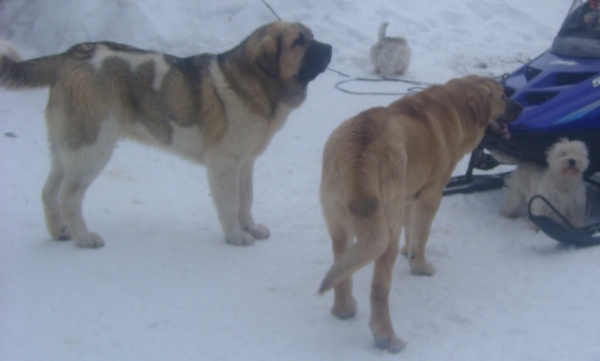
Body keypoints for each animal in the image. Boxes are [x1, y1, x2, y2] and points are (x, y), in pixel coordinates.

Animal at [0, 21, 332, 248]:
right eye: (299, 42)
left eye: (312, 35)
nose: (329, 48)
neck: (254, 83)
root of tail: (69, 56)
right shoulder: (224, 163)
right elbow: (229, 202)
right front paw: (236, 236)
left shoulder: (245, 162)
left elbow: (245, 199)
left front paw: (250, 228)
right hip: (92, 148)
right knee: (68, 197)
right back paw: (85, 238)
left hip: (68, 148)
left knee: (48, 191)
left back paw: (59, 232)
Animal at [318, 74, 520, 352]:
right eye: (502, 96)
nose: (522, 107)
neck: (456, 107)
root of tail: (360, 151)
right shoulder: (430, 197)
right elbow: (421, 237)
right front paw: (419, 265)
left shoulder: (408, 197)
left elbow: (410, 228)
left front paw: (409, 252)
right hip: (385, 235)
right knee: (379, 288)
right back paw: (386, 337)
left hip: (341, 224)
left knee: (341, 263)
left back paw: (343, 308)